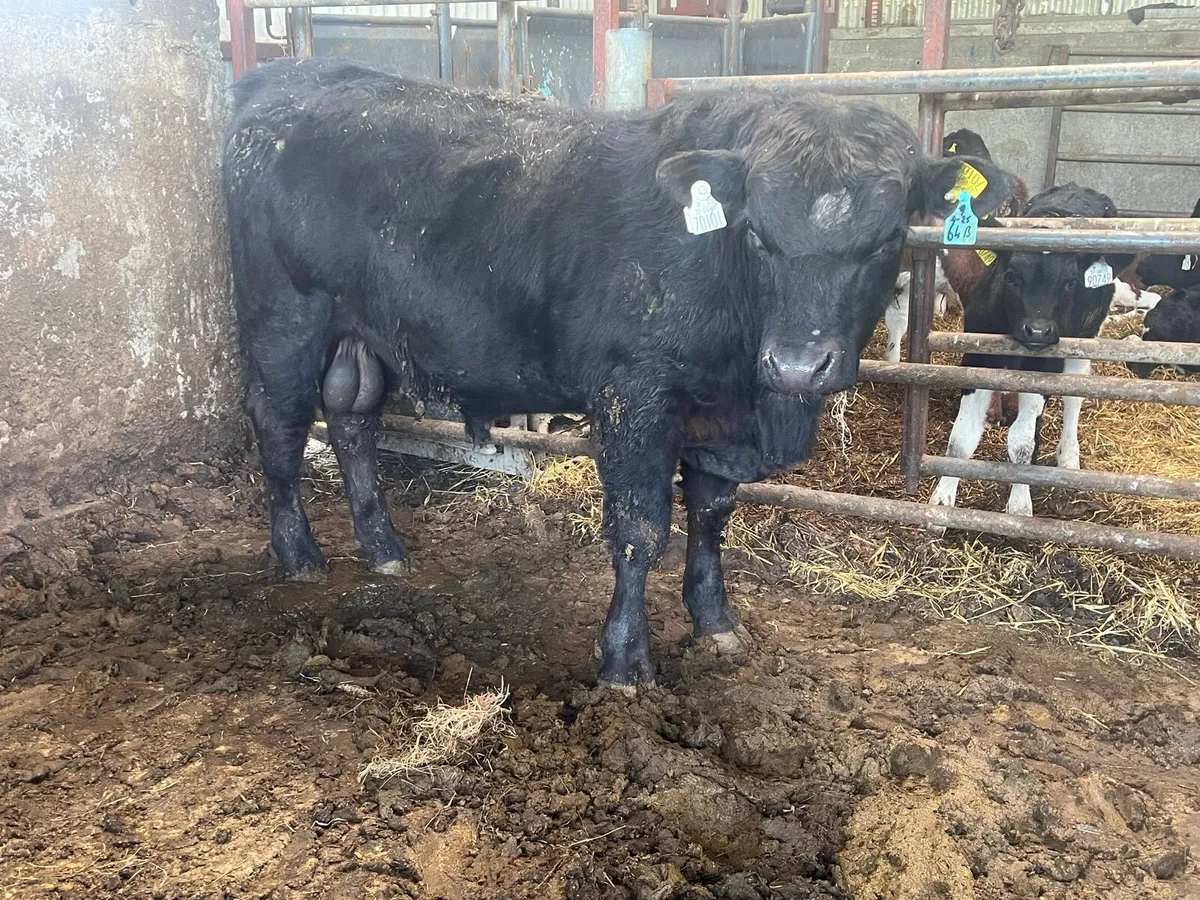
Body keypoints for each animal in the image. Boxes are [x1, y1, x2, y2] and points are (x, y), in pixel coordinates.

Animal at [224, 58, 1012, 689]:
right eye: (757, 233)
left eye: (887, 239)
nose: (795, 363)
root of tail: (296, 75)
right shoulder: (634, 398)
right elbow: (641, 528)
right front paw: (625, 659)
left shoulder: (719, 421)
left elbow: (711, 517)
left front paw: (715, 619)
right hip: (283, 316)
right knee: (279, 421)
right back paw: (299, 554)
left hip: (360, 333)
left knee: (350, 414)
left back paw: (384, 548)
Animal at [929, 183, 1134, 517]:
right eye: (1012, 277)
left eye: (1070, 282)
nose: (1037, 330)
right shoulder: (978, 357)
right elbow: (961, 438)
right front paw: (942, 501)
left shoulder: (1043, 368)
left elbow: (1023, 444)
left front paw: (1019, 507)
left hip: (1085, 339)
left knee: (1074, 396)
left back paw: (1068, 457)